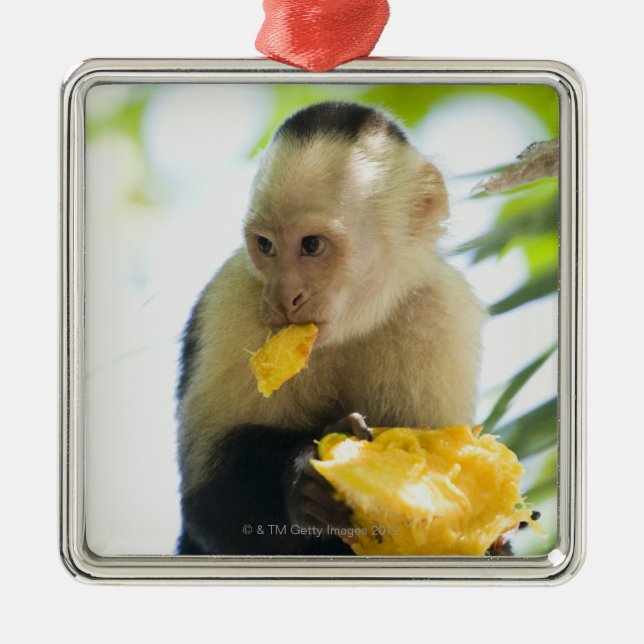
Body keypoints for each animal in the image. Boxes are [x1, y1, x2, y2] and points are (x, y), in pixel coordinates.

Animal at [175, 101, 486, 556]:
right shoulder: (232, 300)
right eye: (265, 245)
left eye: (312, 245)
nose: (284, 297)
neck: (351, 326)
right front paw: (303, 481)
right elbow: (208, 505)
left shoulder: (442, 312)